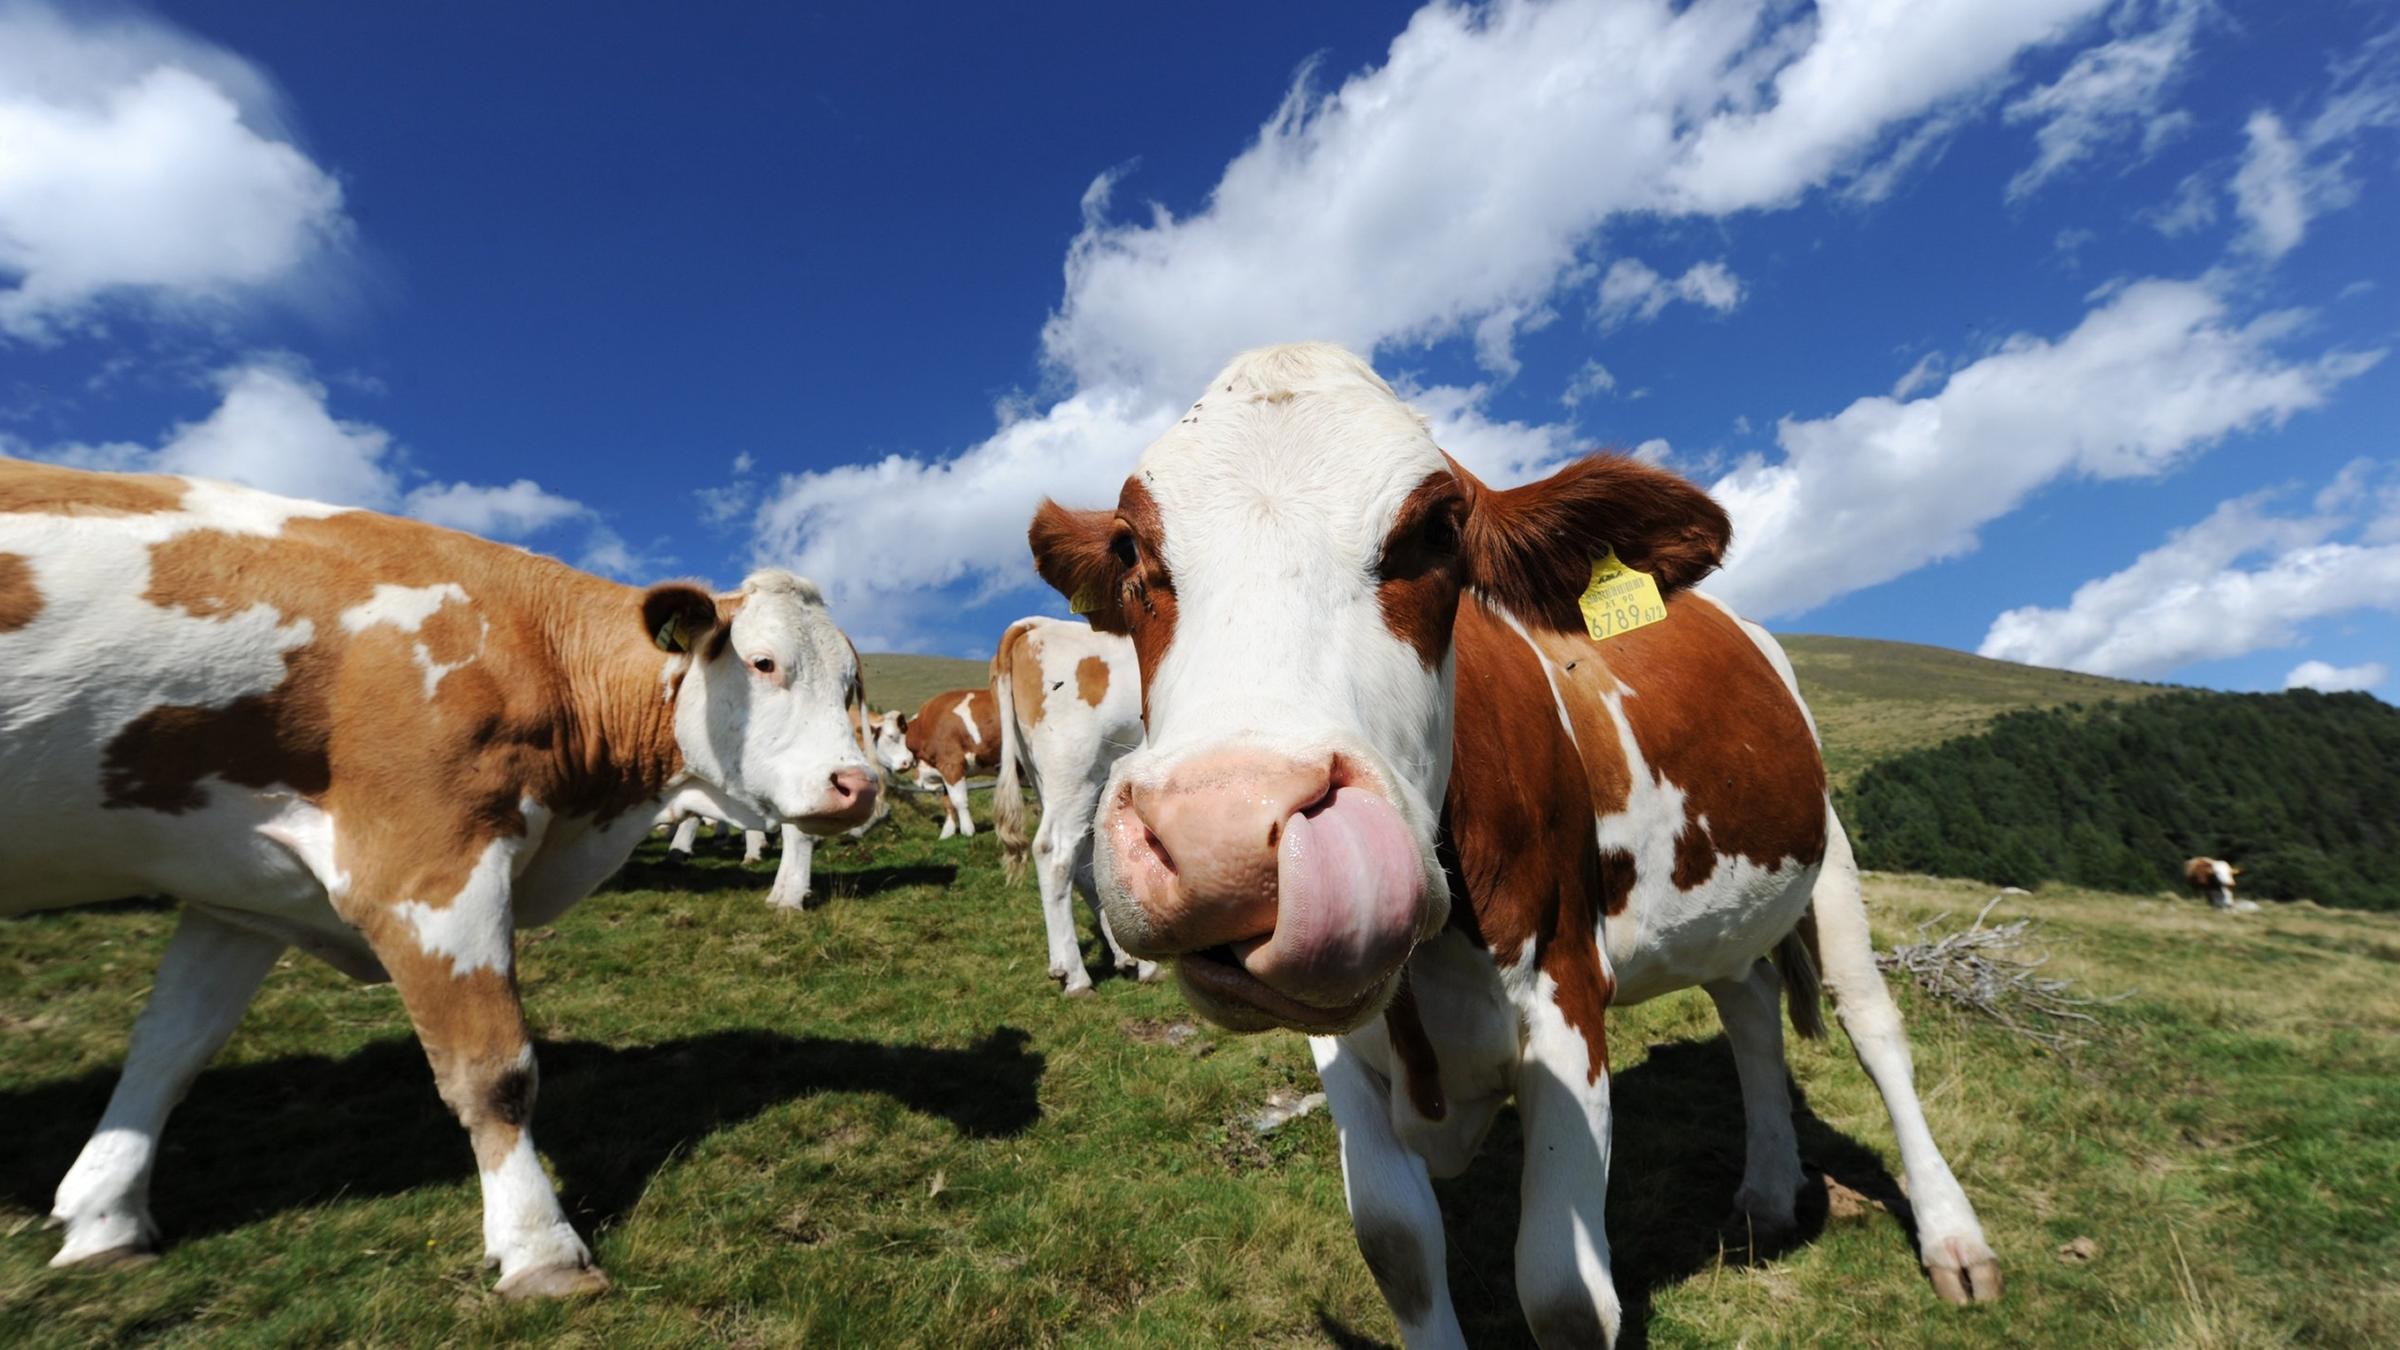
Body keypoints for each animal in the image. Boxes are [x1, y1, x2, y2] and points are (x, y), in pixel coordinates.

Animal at [0, 458, 883, 1297]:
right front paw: (540, 1249)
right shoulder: (431, 863)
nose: (858, 784)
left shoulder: (239, 891)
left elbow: (168, 1051)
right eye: (764, 663)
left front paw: (104, 1219)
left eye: (851, 685)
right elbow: (494, 1069)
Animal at [907, 687, 1003, 835]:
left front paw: (968, 831)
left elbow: (959, 800)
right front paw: (947, 833)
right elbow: (948, 802)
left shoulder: (951, 764)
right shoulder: (941, 771)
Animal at [993, 614, 1161, 994]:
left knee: (1085, 861)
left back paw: (1133, 960)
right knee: (1054, 853)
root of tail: (1036, 625)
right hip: (1074, 769)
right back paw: (1075, 975)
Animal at [1022, 341, 1996, 1335]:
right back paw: (1765, 1196)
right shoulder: (1341, 1050)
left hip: (1827, 853)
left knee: (1873, 1026)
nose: (1220, 839)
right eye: (1131, 548)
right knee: (1751, 1005)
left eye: (1437, 530)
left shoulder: (1567, 996)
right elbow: (1398, 1248)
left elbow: (1564, 1295)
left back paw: (1953, 1240)